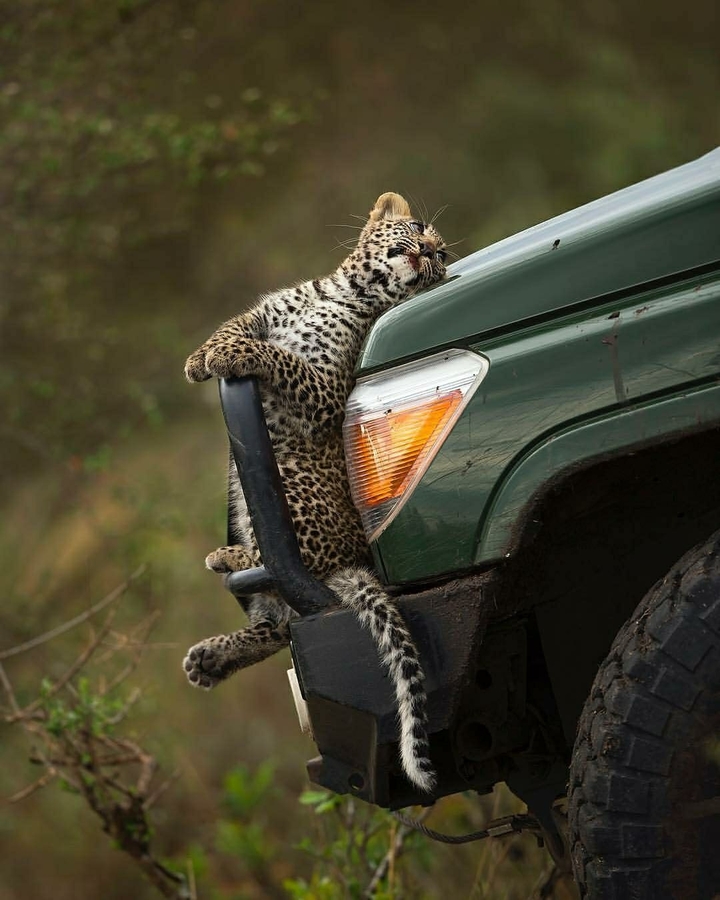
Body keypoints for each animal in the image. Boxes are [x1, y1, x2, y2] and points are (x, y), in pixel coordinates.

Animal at [182, 192, 447, 792]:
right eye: (419, 228)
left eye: (441, 255)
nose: (428, 251)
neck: (346, 291)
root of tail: (354, 558)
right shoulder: (264, 312)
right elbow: (233, 326)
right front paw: (201, 357)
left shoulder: (326, 390)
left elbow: (283, 360)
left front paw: (230, 359)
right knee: (280, 622)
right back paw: (210, 657)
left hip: (289, 477)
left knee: (290, 575)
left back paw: (229, 559)